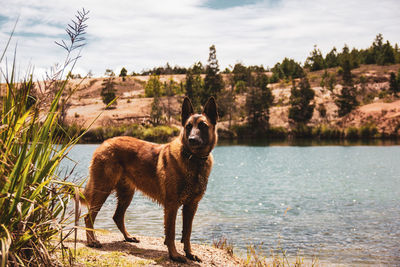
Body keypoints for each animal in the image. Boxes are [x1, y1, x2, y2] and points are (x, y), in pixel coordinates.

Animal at [82, 97, 219, 262]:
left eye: (203, 125)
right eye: (188, 126)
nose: (192, 139)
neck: (194, 159)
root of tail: (104, 142)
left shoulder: (191, 206)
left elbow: (187, 232)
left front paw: (189, 253)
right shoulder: (172, 205)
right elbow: (171, 233)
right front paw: (174, 255)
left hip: (126, 194)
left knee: (117, 217)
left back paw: (128, 237)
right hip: (103, 189)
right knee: (88, 217)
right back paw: (92, 241)